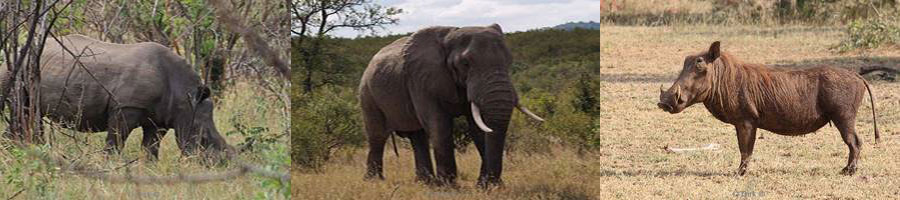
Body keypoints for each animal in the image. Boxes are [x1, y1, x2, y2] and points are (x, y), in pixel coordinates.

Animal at [356, 24, 540, 188]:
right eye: (465, 63)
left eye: (509, 61)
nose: (493, 184)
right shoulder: (420, 79)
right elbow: (439, 124)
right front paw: (449, 187)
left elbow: (478, 128)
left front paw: (486, 186)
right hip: (367, 93)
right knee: (378, 135)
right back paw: (374, 181)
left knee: (417, 137)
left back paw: (426, 182)